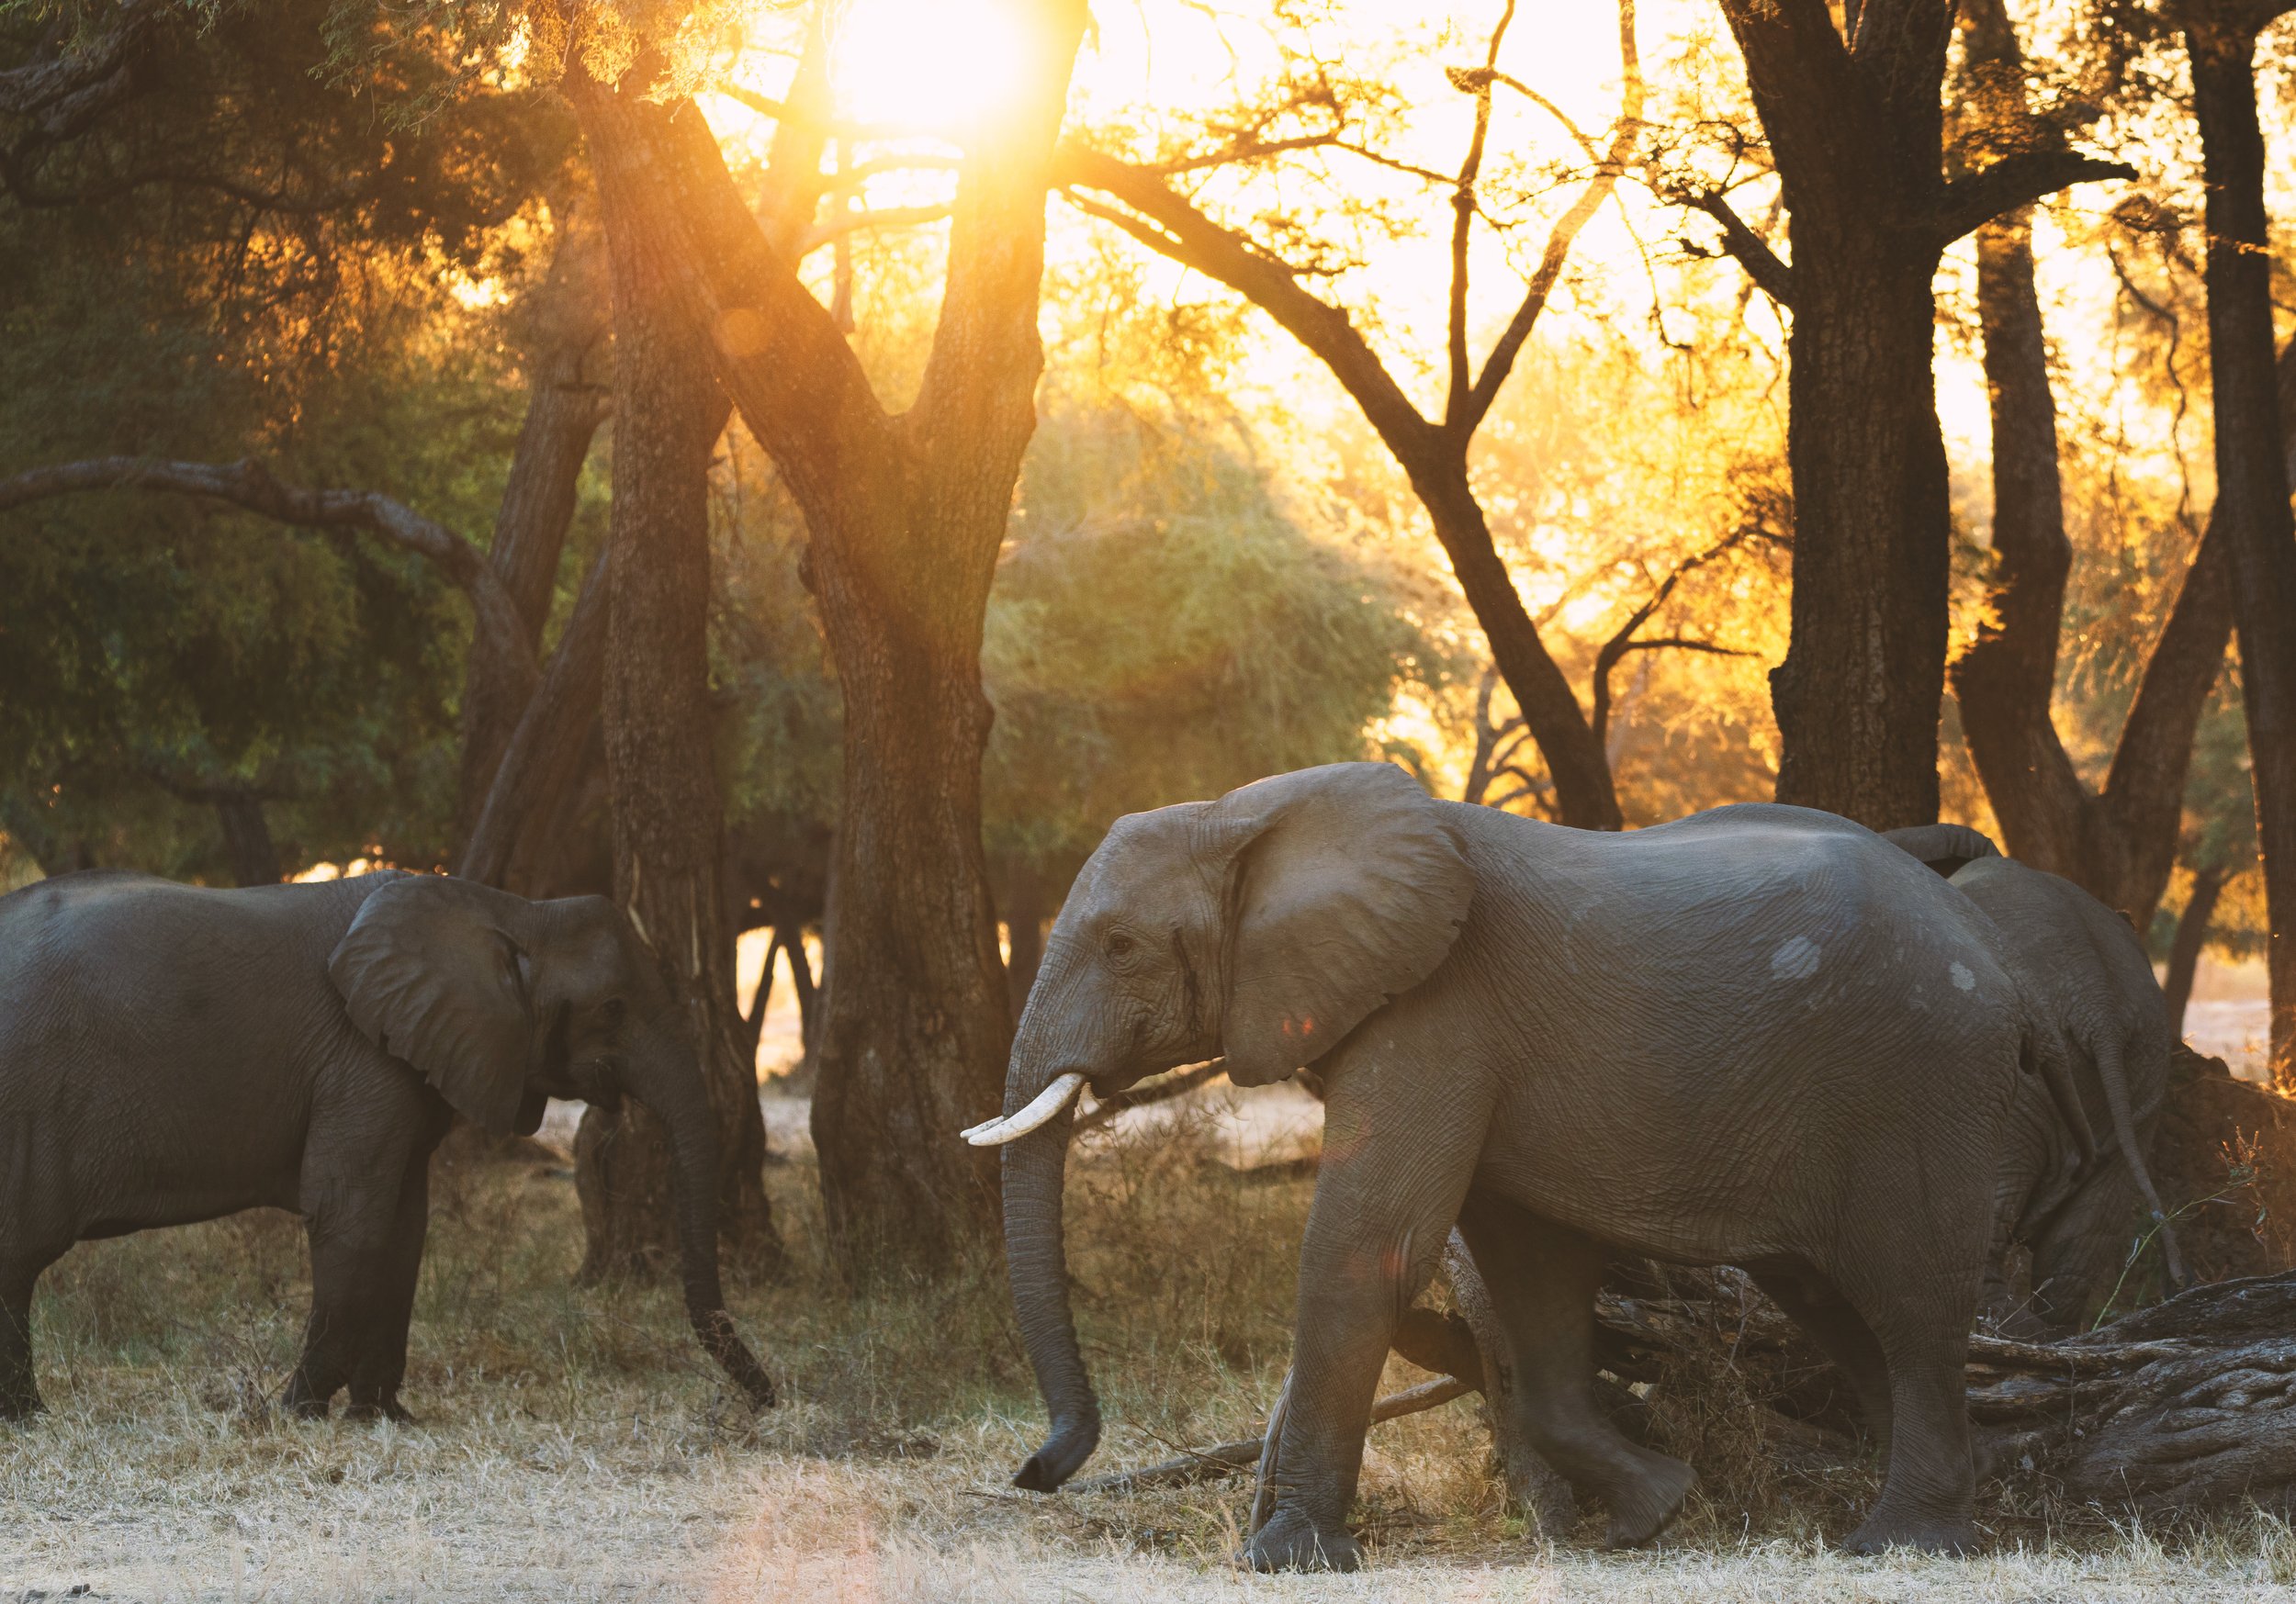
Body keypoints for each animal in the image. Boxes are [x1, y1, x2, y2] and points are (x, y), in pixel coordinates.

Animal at [0, 868, 775, 1421]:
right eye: (612, 1009)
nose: (762, 1399)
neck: (513, 912)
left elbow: (405, 1224)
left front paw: (384, 1417)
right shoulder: (362, 1057)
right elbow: (353, 1215)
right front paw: (297, 1412)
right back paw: (30, 1419)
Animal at [971, 763, 2031, 1569]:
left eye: (1121, 945)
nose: (1034, 1469)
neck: (1245, 811)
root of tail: (1989, 944)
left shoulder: (1439, 1006)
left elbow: (1371, 1243)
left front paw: (1283, 1558)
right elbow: (1530, 1270)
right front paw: (1652, 1513)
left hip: (1920, 1080)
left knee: (1911, 1302)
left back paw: (1902, 1544)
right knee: (1834, 1302)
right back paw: (1953, 1494)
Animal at [1881, 825, 2188, 1333]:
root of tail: (2097, 1003)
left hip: (2015, 1073)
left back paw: (1994, 1327)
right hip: (2147, 1071)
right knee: (2088, 1230)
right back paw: (2048, 1334)